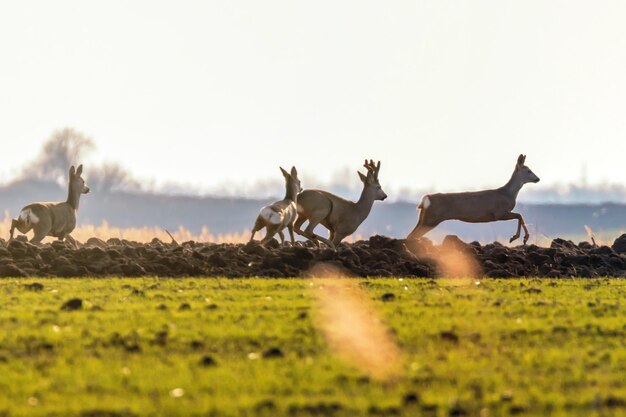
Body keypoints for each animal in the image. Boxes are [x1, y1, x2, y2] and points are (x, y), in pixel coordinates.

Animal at [408, 153, 540, 244]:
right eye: (529, 171)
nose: (538, 179)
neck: (508, 194)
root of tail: (425, 199)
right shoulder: (499, 213)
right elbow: (520, 216)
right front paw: (519, 238)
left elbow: (519, 216)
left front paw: (519, 238)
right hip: (432, 219)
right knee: (412, 236)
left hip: (424, 218)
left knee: (410, 235)